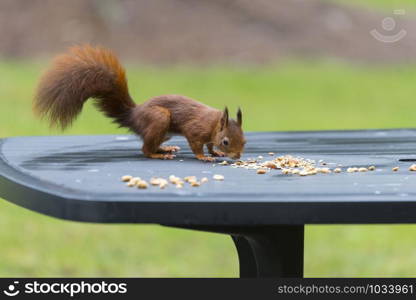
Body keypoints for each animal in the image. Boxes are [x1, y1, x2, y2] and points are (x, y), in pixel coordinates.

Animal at [35, 44, 247, 161]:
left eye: (245, 140)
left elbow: (210, 145)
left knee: (150, 143)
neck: (214, 124)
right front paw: (203, 156)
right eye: (226, 141)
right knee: (145, 149)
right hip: (159, 119)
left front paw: (215, 152)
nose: (237, 156)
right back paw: (159, 154)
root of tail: (133, 115)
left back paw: (165, 148)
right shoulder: (195, 130)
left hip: (164, 131)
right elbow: (196, 145)